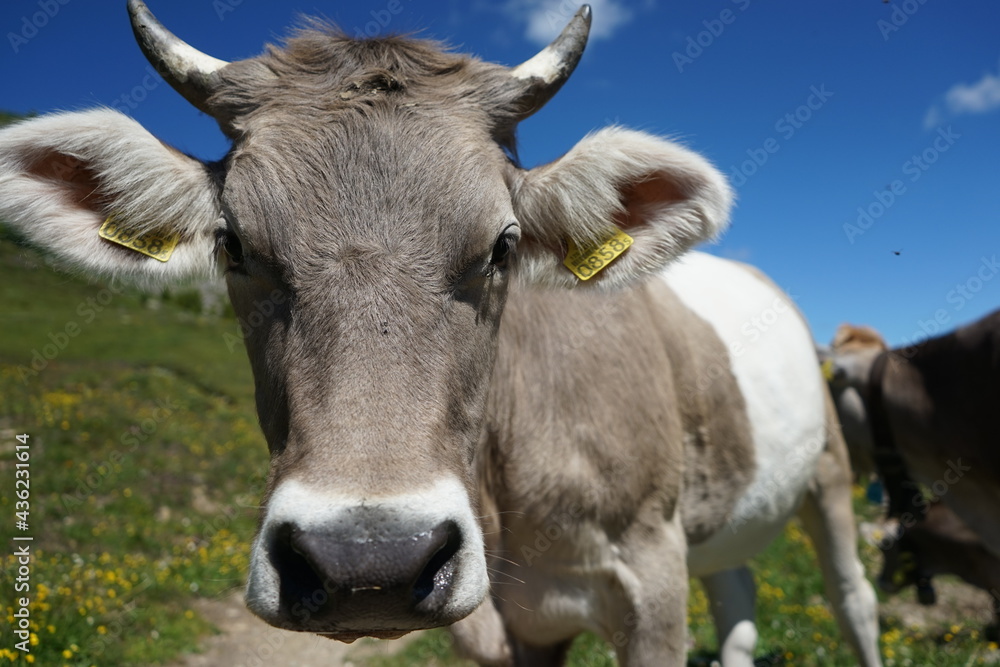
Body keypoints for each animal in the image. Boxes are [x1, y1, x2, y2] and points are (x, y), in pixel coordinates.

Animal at [0, 2, 880, 664]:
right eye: (233, 243)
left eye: (504, 245)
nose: (367, 560)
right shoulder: (506, 628)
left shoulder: (651, 580)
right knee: (738, 595)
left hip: (831, 470)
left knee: (855, 598)